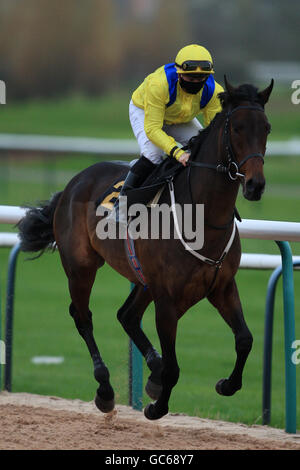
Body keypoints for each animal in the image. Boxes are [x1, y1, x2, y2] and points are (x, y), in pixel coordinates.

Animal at [17, 77, 274, 418]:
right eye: (237, 128)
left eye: (267, 128)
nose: (255, 185)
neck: (203, 216)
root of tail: (74, 183)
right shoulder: (167, 300)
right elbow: (175, 367)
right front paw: (156, 407)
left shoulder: (222, 286)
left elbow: (245, 339)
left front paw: (226, 384)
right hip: (81, 267)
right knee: (83, 316)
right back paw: (106, 388)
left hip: (143, 278)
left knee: (126, 315)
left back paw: (152, 371)